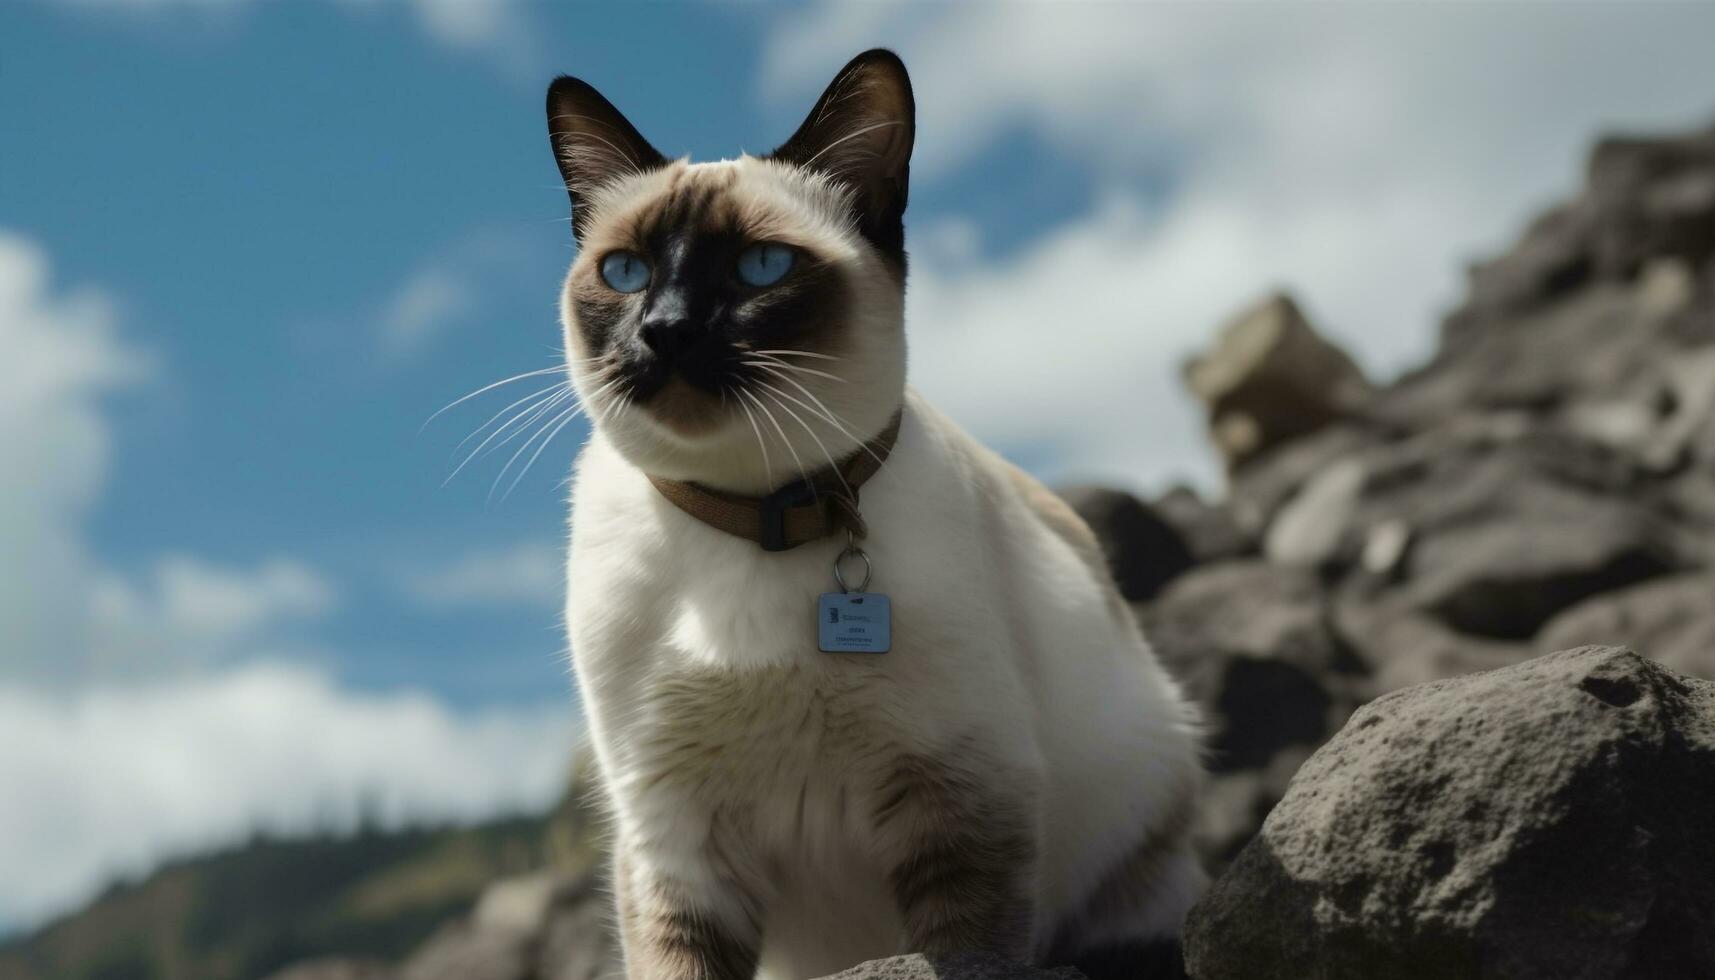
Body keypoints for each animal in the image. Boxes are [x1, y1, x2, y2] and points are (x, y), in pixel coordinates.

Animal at [552, 49, 1207, 980]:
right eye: (625, 274)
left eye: (760, 267)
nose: (666, 329)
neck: (757, 515)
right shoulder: (674, 837)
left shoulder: (961, 797)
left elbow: (966, 949)